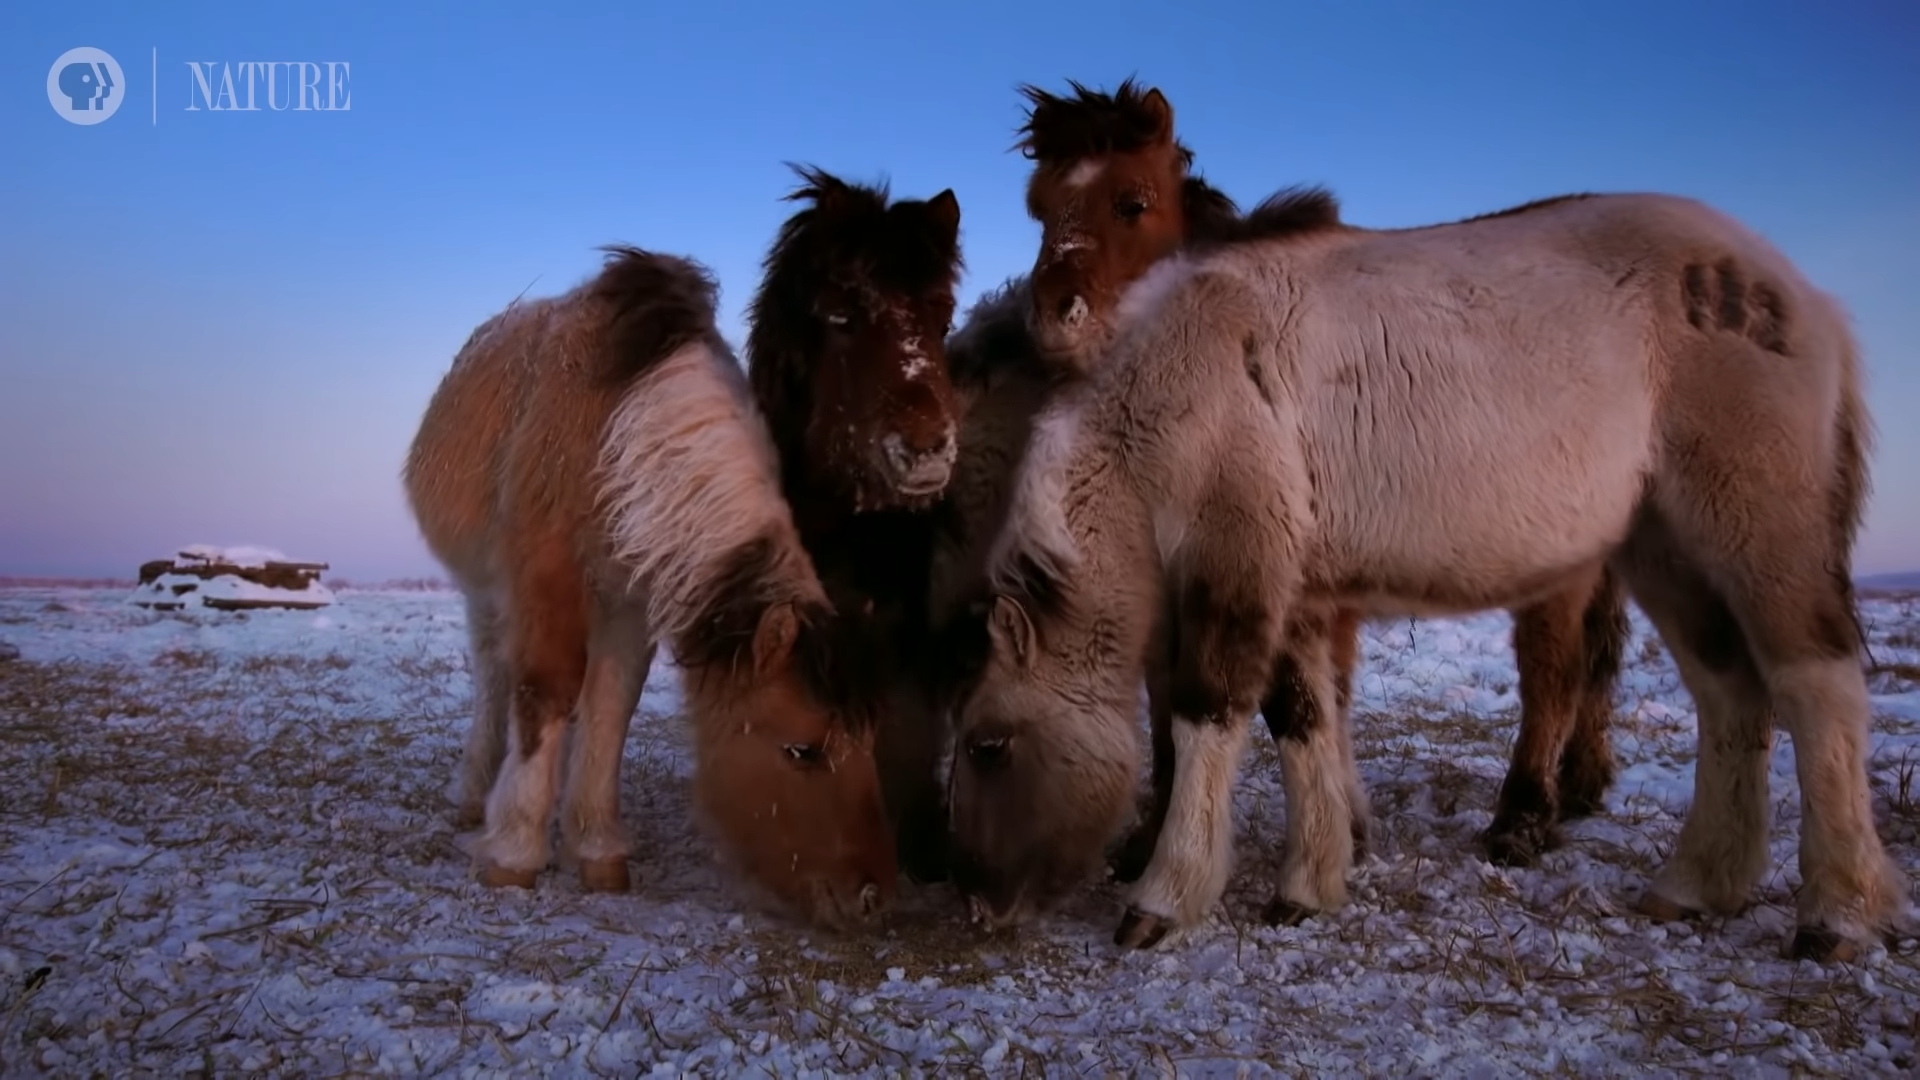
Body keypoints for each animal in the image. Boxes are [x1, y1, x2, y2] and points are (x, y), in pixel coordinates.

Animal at [998, 82, 1628, 876]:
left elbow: (1317, 697)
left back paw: (1523, 816)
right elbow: (1175, 702)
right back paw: (1582, 782)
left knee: (1553, 672)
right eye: (1039, 207)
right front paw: (1150, 839)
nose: (1054, 318)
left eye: (1132, 201)